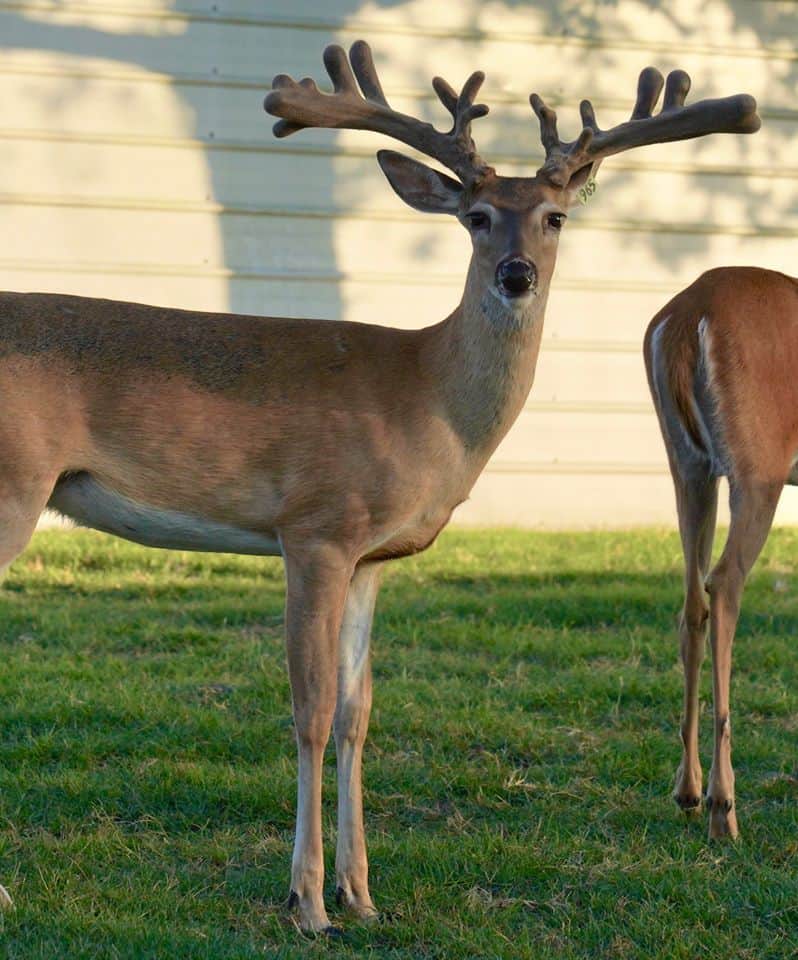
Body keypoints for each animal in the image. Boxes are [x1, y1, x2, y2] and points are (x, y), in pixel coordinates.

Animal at [0, 40, 759, 932]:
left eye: (554, 217)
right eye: (476, 216)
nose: (516, 275)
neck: (424, 394)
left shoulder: (372, 557)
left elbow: (358, 714)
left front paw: (359, 893)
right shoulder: (315, 527)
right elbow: (310, 709)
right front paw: (305, 900)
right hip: (13, 488)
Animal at [645, 267, 798, 841]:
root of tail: (690, 314)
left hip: (688, 462)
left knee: (692, 602)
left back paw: (687, 791)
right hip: (758, 466)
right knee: (724, 583)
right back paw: (722, 805)